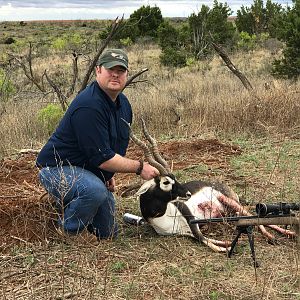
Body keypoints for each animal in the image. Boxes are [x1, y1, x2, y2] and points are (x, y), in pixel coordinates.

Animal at [123, 118, 296, 252]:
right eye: (166, 182)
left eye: (174, 177)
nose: (187, 194)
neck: (162, 216)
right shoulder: (185, 232)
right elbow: (204, 240)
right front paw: (227, 244)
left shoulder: (190, 219)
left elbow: (206, 240)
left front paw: (228, 246)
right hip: (229, 212)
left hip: (229, 201)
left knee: (253, 216)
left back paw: (277, 236)